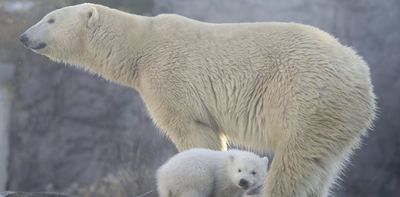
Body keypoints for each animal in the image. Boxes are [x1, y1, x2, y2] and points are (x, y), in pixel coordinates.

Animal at [18, 3, 376, 197]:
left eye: (50, 18)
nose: (23, 37)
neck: (140, 47)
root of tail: (361, 73)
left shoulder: (170, 78)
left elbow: (192, 131)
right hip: (336, 119)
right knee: (320, 165)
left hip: (304, 97)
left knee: (294, 161)